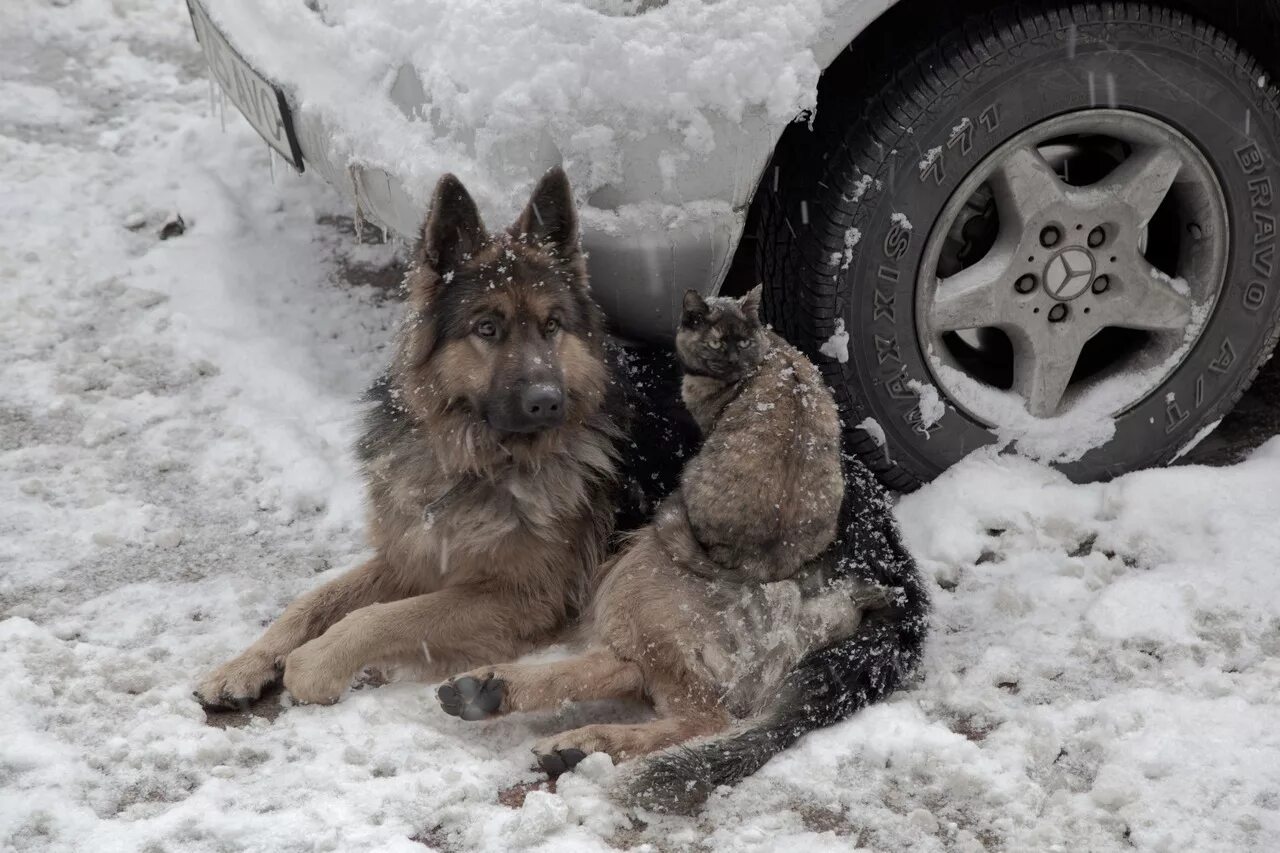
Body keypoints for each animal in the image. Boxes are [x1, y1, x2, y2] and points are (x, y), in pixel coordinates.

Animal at [195, 169, 660, 706]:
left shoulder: (522, 598)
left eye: (553, 326)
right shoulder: (412, 554)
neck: (474, 462)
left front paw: (316, 662)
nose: (547, 401)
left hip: (635, 557)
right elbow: (313, 600)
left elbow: (385, 617)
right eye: (487, 328)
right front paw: (244, 663)